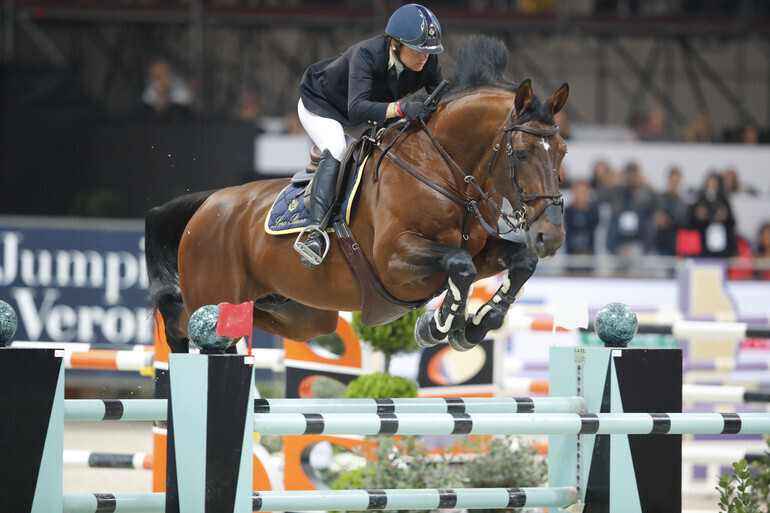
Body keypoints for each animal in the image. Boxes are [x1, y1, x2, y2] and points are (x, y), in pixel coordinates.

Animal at [145, 35, 568, 354]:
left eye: (563, 152)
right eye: (522, 154)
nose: (551, 236)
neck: (442, 170)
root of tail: (208, 204)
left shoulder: (479, 251)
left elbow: (519, 262)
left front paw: (474, 325)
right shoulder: (394, 260)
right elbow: (459, 265)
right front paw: (438, 324)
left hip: (301, 315)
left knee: (242, 322)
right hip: (215, 293)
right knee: (185, 321)